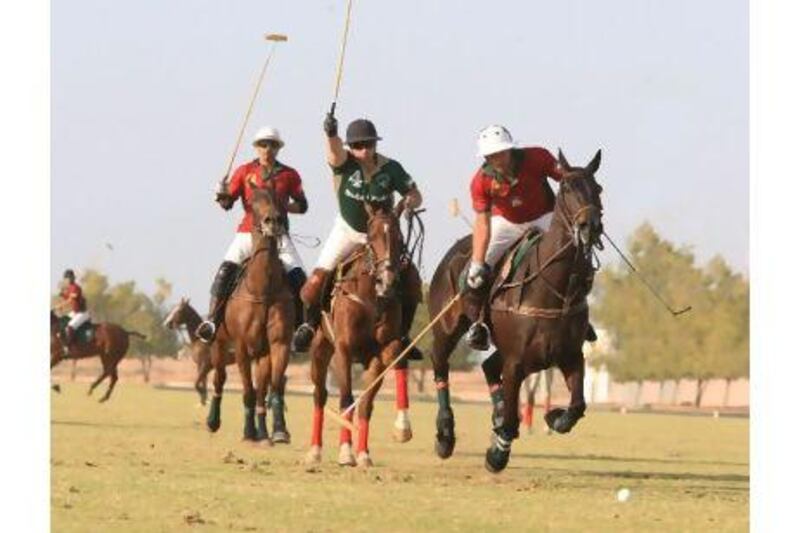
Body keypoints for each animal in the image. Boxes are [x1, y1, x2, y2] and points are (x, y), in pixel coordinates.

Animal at [205, 185, 296, 442]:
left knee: (261, 389)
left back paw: (262, 431)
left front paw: (278, 430)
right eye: (253, 202)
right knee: (219, 379)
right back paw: (213, 421)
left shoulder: (278, 343)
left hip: (261, 352)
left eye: (279, 198)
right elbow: (246, 390)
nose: (273, 221)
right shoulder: (242, 346)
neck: (262, 289)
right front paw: (247, 431)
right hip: (220, 344)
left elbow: (272, 387)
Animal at [304, 204, 410, 466]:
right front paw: (346, 452)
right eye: (371, 237)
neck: (371, 298)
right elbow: (346, 399)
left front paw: (364, 453)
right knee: (320, 395)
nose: (386, 281)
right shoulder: (343, 350)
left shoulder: (382, 352)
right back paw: (315, 451)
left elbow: (366, 404)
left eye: (399, 238)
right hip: (320, 351)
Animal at [428, 149, 604, 470]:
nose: (591, 226)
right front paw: (497, 454)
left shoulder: (570, 356)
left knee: (487, 366)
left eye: (598, 189)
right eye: (566, 188)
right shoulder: (516, 363)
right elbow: (511, 421)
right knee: (440, 363)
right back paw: (445, 434)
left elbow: (577, 406)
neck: (553, 289)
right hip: (447, 326)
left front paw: (553, 417)